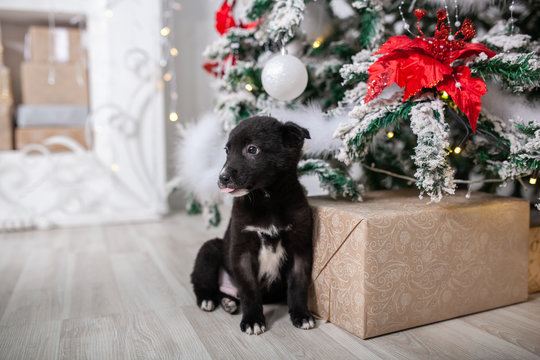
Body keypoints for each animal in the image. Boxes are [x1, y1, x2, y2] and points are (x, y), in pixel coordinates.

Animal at [192, 115, 314, 334]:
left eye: (252, 149)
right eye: (227, 150)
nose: (222, 178)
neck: (267, 200)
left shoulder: (300, 247)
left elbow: (298, 285)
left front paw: (301, 315)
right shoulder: (242, 251)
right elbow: (249, 290)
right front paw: (252, 320)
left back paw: (228, 302)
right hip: (210, 249)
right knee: (203, 280)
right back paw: (208, 299)